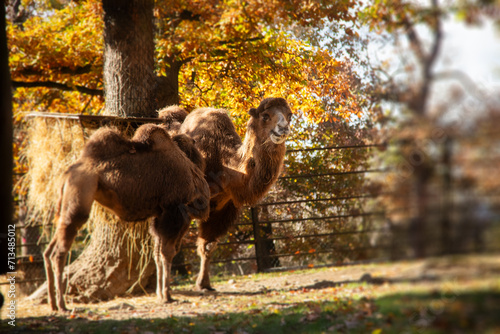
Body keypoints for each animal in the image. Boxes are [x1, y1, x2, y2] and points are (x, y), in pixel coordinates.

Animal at [45, 124, 211, 312]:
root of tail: (66, 175)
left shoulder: (159, 215)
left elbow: (156, 252)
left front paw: (160, 295)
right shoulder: (173, 211)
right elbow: (166, 253)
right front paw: (167, 296)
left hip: (64, 209)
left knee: (49, 250)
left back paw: (53, 303)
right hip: (78, 203)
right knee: (59, 252)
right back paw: (62, 305)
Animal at [179, 96, 292, 290]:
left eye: (289, 115)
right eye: (265, 116)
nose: (283, 128)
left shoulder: (224, 207)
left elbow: (208, 246)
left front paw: (204, 284)